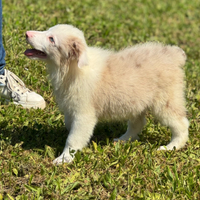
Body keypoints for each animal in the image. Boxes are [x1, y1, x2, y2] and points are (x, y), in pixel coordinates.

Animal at [24, 24, 189, 164]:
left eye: (51, 39)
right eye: (47, 30)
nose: (26, 33)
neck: (70, 69)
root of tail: (174, 55)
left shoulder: (84, 114)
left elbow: (74, 138)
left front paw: (65, 158)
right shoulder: (71, 107)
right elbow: (69, 125)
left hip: (166, 102)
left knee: (181, 123)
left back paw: (171, 147)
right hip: (136, 101)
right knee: (138, 123)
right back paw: (123, 139)